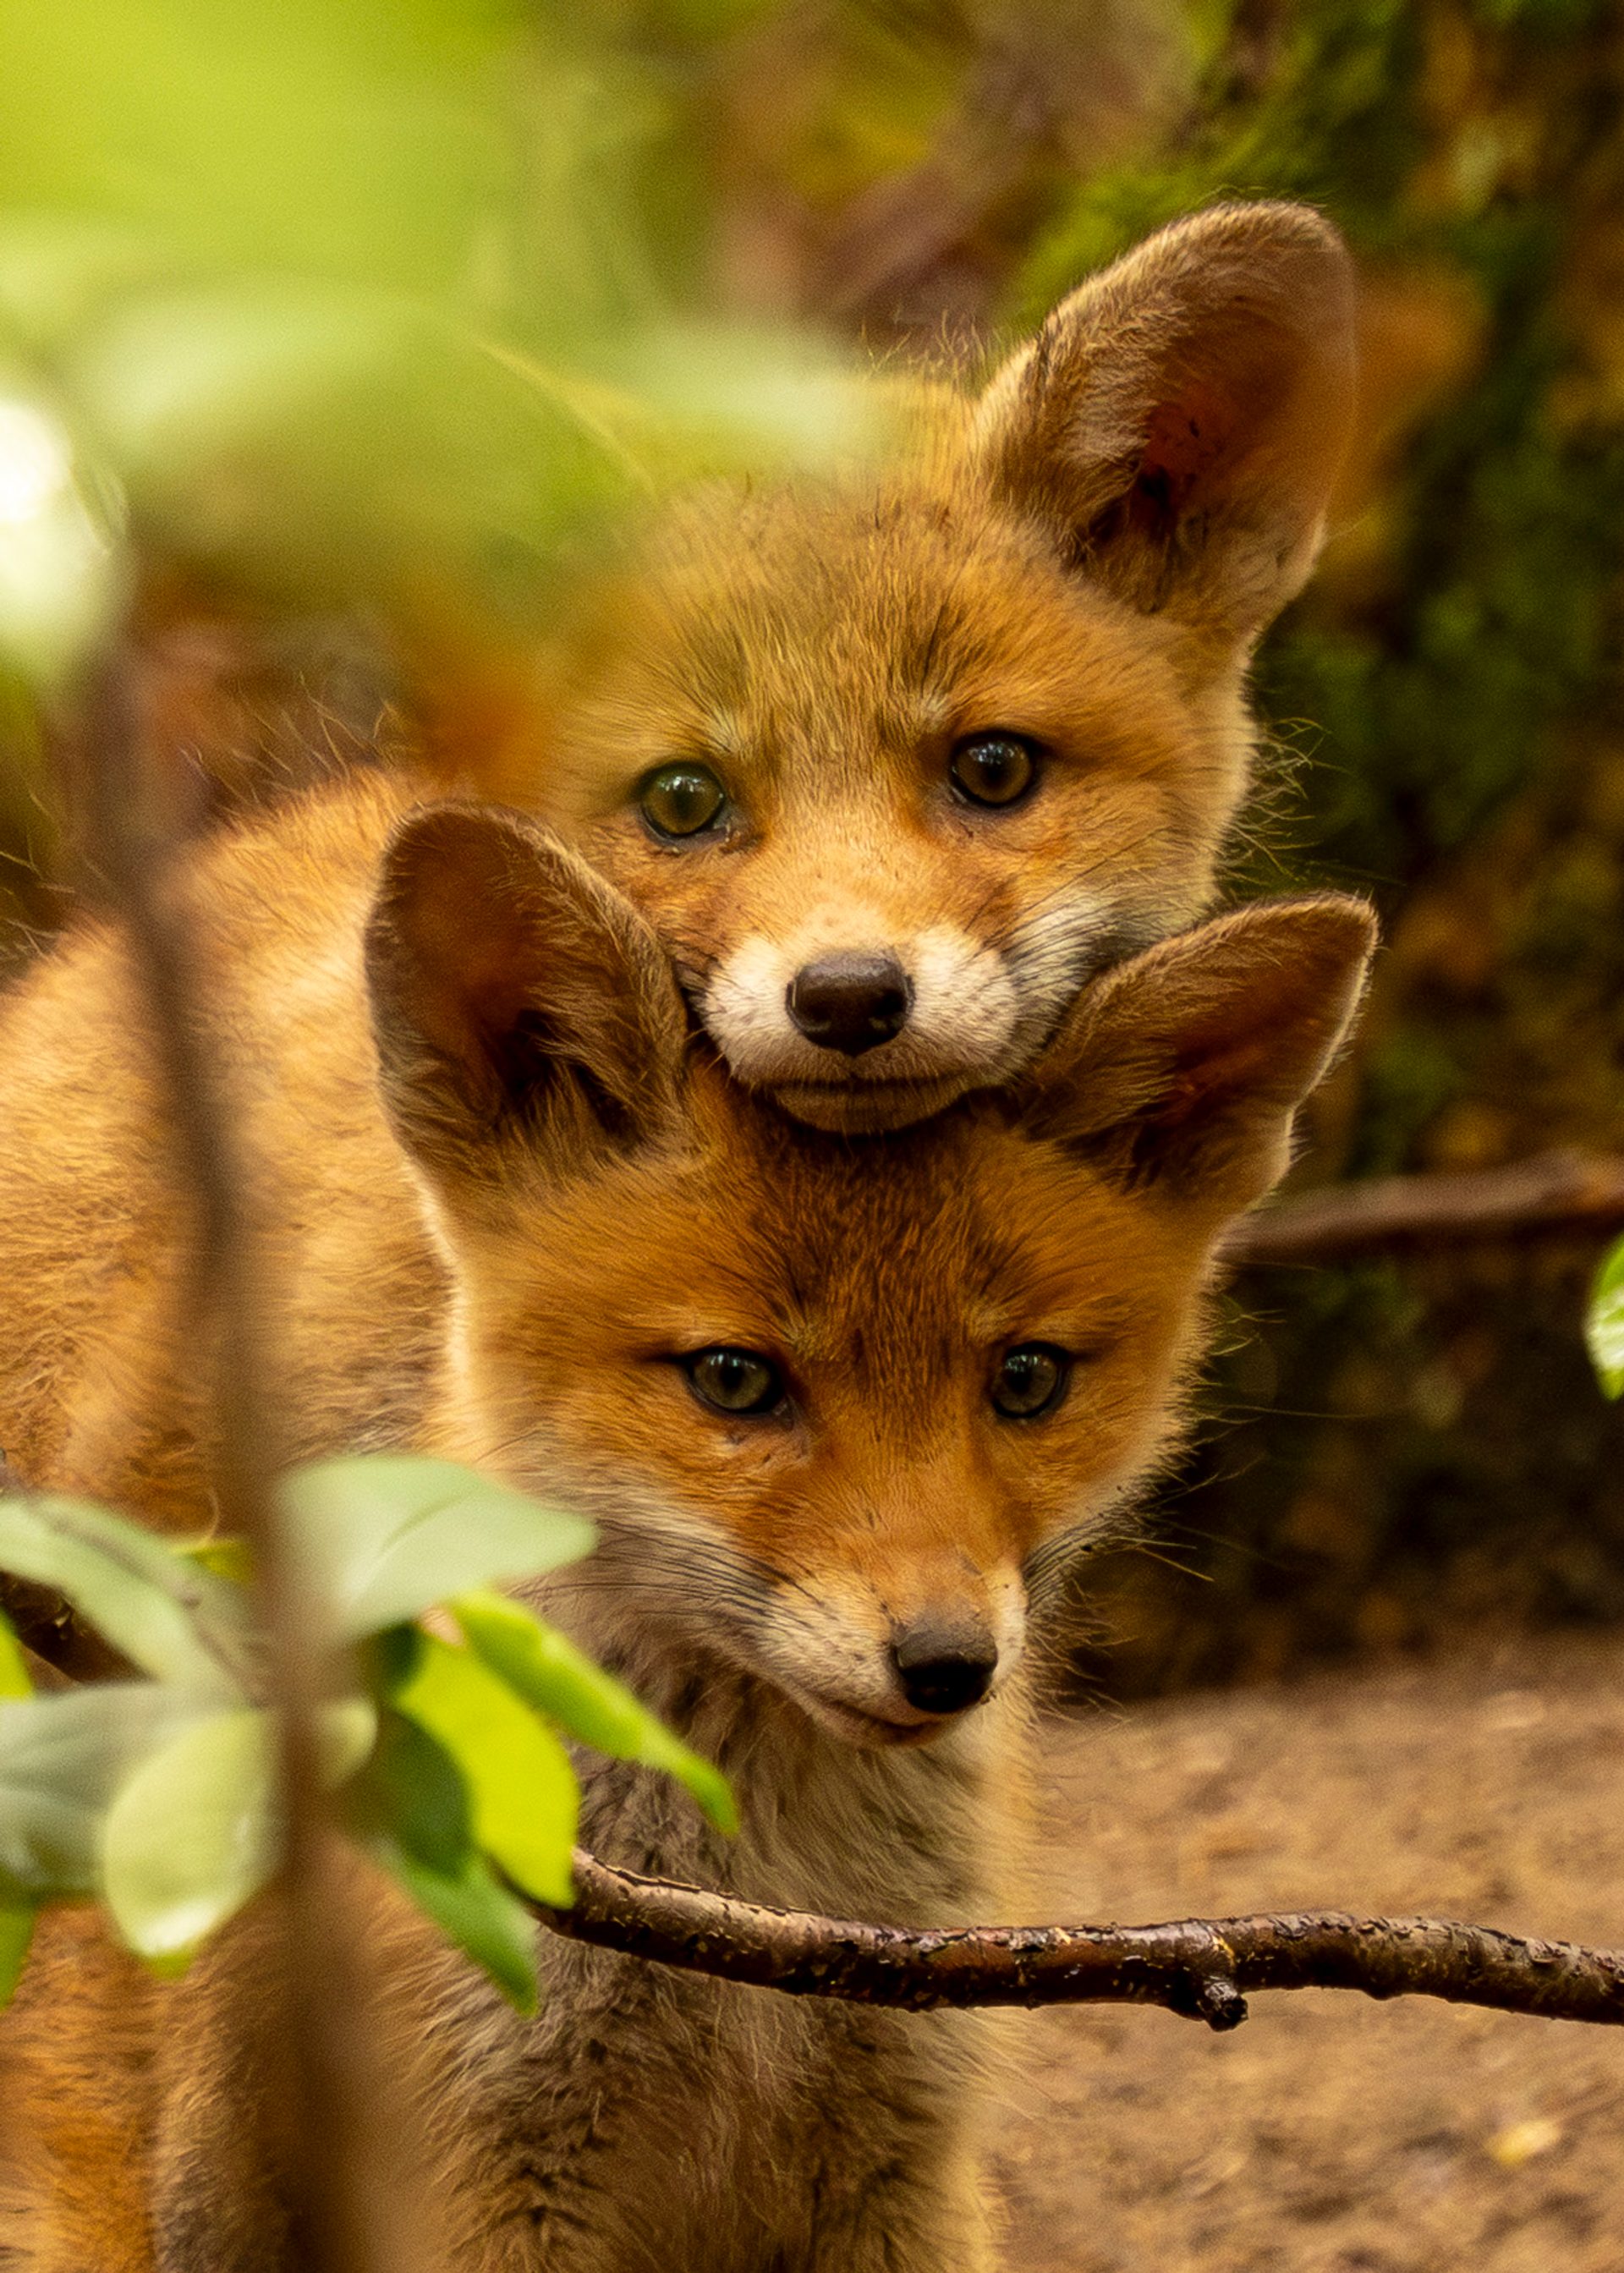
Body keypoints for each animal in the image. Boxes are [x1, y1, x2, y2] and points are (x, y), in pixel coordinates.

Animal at [0, 774, 1373, 2270]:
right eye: (734, 1378)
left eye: (1026, 1378)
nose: (948, 1663)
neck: (748, 1923)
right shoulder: (485, 2158)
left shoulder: (900, 2150)